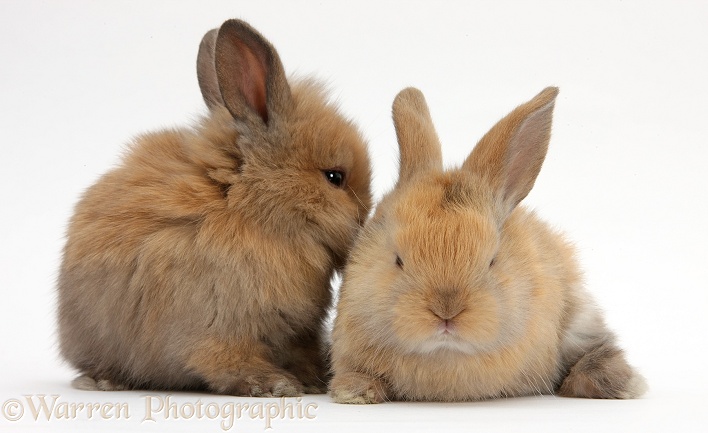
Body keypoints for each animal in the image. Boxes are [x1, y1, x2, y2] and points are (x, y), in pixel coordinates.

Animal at [56, 18, 370, 394]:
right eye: (335, 177)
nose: (364, 219)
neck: (249, 207)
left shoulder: (298, 331)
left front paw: (313, 381)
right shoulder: (216, 329)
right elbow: (227, 361)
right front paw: (275, 385)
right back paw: (102, 381)